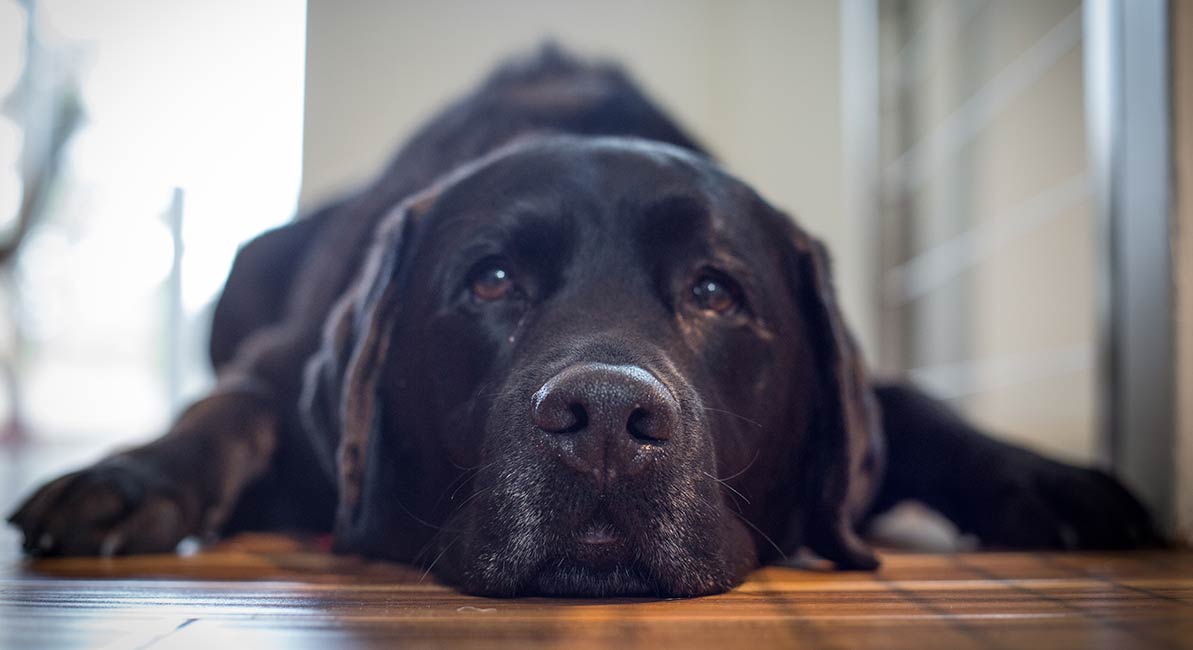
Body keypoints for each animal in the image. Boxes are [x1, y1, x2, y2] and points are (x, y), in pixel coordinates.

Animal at [7, 48, 1154, 596]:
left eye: (713, 293)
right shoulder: (277, 368)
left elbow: (914, 402)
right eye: (491, 281)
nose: (604, 417)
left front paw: (1055, 481)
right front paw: (127, 482)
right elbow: (228, 410)